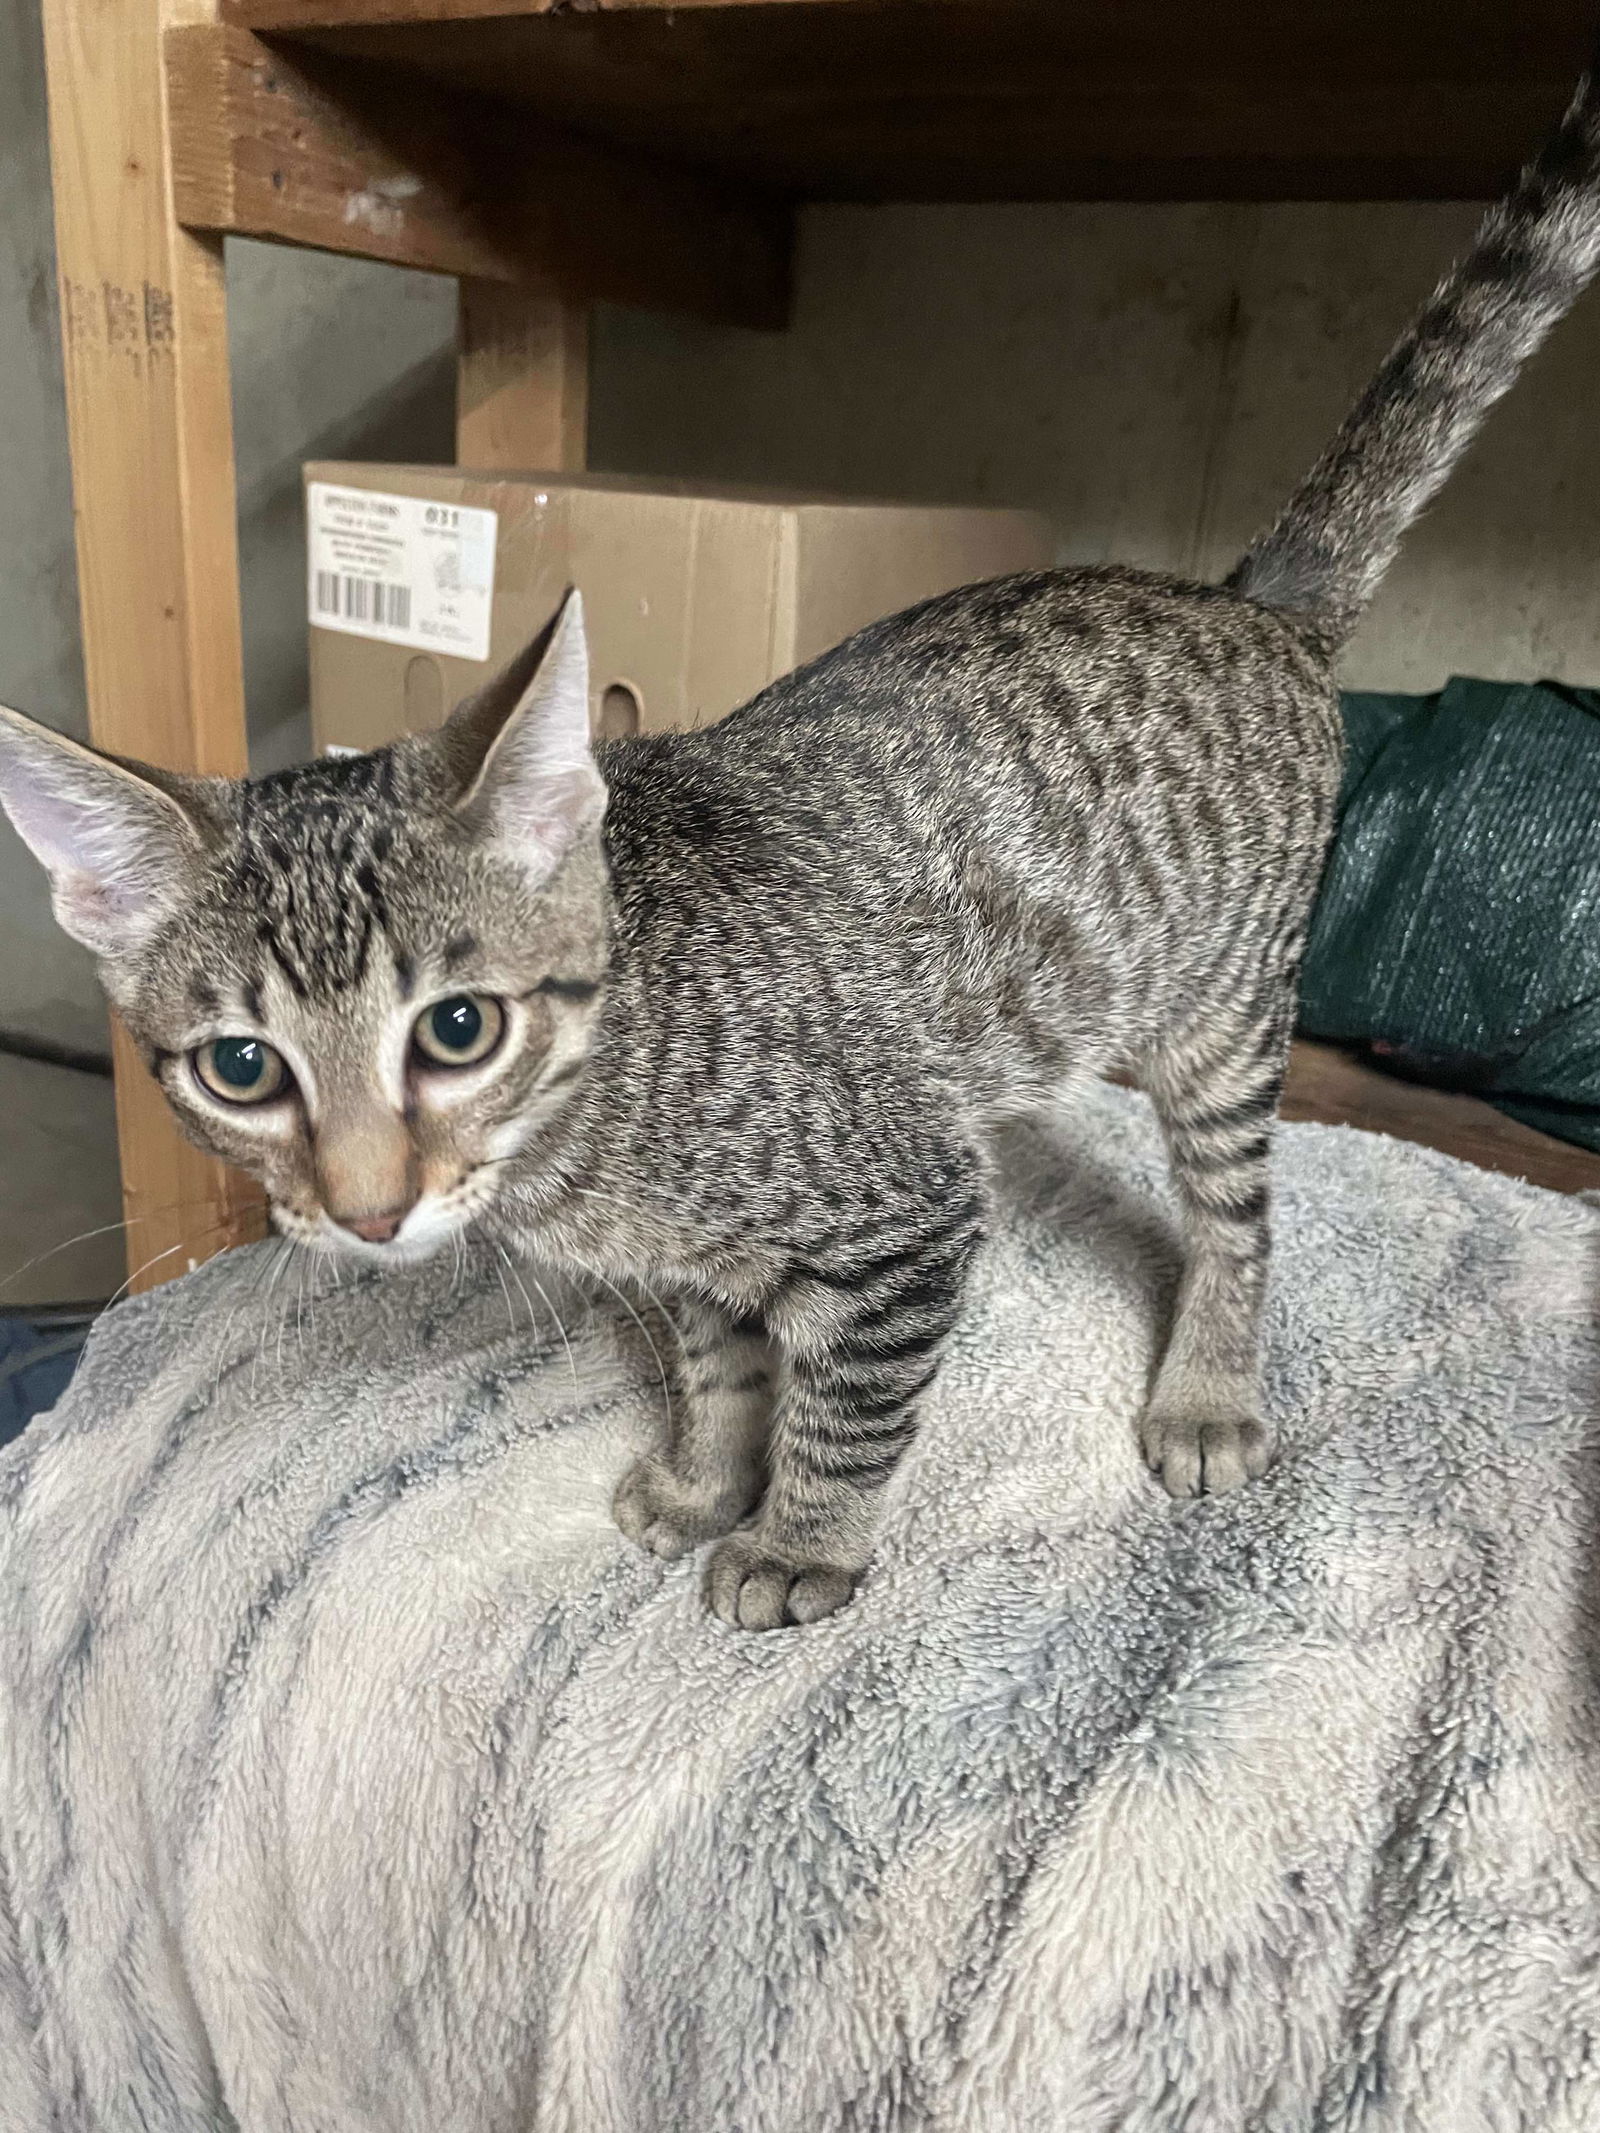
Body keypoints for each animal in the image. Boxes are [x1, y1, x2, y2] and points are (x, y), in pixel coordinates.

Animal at [9, 66, 1600, 1629]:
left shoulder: (906, 1213)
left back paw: (1208, 1387)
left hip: (1219, 1019)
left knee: (1240, 1216)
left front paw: (801, 1540)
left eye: (458, 1030)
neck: (597, 1108)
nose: (368, 1211)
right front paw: (707, 1475)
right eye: (240, 1068)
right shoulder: (699, 1268)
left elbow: (848, 1404)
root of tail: (1248, 599)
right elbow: (723, 1365)